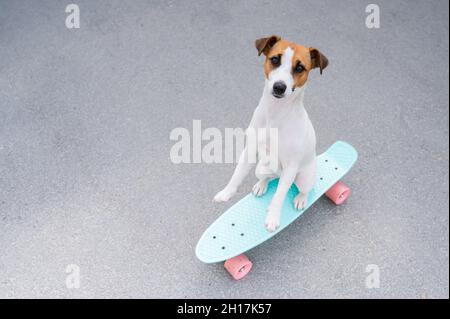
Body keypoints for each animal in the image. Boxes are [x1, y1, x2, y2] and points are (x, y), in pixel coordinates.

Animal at [213, 35, 328, 232]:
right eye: (275, 59)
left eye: (299, 68)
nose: (279, 87)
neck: (275, 114)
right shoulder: (250, 151)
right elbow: (237, 174)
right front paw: (226, 193)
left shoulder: (291, 166)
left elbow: (279, 196)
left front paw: (273, 218)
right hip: (261, 168)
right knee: (268, 177)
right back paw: (262, 185)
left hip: (303, 177)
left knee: (304, 188)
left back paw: (301, 198)